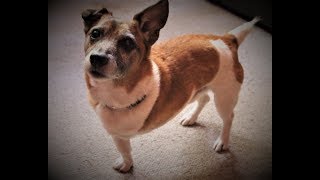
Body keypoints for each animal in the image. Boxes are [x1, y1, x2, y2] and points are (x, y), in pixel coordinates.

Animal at [80, 0, 260, 172]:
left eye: (127, 42)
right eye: (95, 33)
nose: (97, 58)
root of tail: (226, 39)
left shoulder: (121, 135)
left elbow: (125, 151)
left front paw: (126, 165)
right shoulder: (117, 135)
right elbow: (124, 151)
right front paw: (126, 163)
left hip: (224, 98)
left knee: (228, 118)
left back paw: (222, 141)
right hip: (200, 89)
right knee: (204, 98)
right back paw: (190, 117)